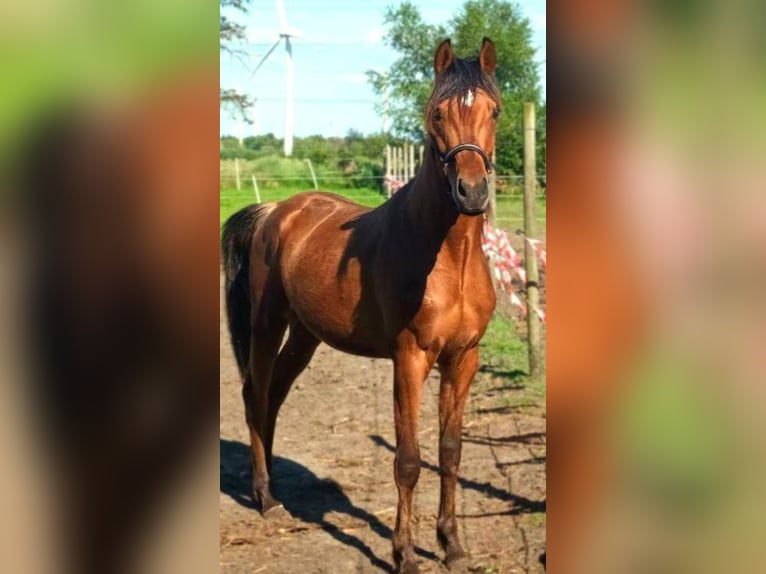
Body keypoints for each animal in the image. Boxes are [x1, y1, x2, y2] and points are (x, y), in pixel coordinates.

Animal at [222, 38, 500, 573]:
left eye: (494, 111)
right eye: (437, 113)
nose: (472, 192)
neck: (447, 260)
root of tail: (275, 212)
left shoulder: (464, 359)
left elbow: (450, 452)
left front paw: (452, 546)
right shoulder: (409, 359)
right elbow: (408, 460)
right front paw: (405, 555)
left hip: (305, 336)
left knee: (274, 397)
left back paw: (275, 485)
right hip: (268, 325)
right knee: (254, 394)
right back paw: (266, 497)